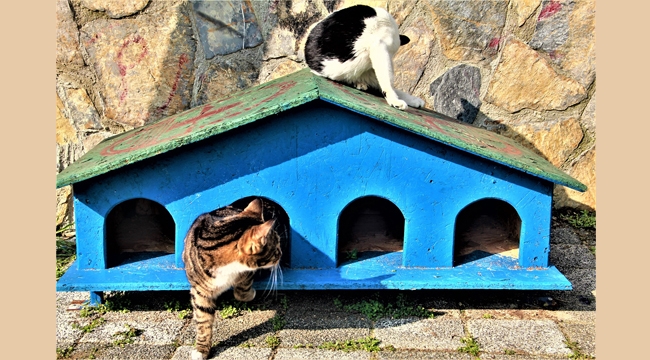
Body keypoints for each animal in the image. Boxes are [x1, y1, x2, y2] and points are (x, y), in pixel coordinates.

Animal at [184, 198, 282, 358]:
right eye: (276, 249)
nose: (281, 254)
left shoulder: (246, 271)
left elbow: (241, 290)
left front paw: (249, 293)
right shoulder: (200, 291)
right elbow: (203, 320)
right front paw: (201, 349)